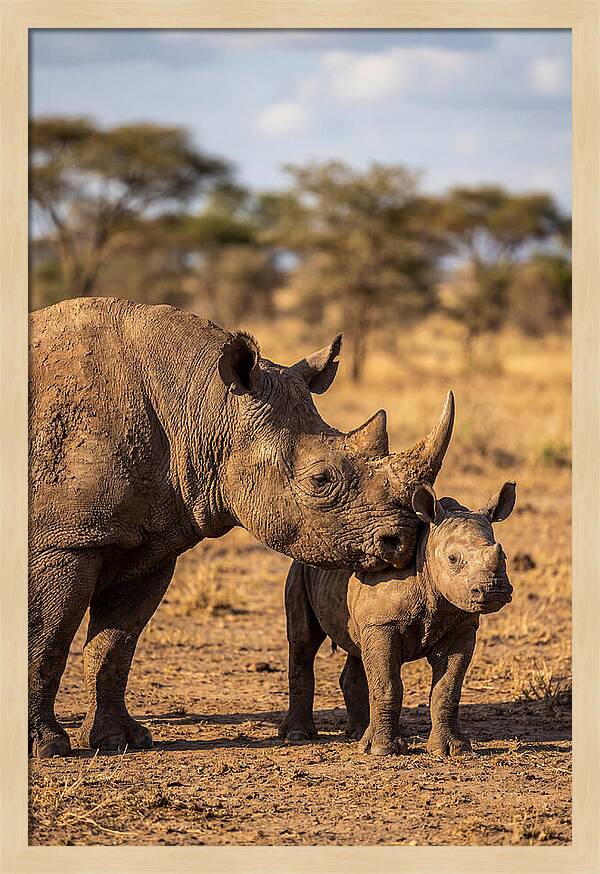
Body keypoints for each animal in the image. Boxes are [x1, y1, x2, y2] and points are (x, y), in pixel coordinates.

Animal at [28, 297, 453, 758]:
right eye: (320, 480)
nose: (403, 541)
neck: (205, 406)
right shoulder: (66, 541)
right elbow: (46, 638)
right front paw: (47, 746)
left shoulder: (150, 543)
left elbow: (115, 644)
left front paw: (119, 741)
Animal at [279, 480, 516, 756]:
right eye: (453, 559)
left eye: (504, 556)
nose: (494, 590)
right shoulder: (383, 624)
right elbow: (388, 684)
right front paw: (383, 750)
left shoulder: (461, 627)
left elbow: (448, 689)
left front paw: (453, 749)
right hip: (299, 568)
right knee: (303, 641)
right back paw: (298, 735)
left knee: (357, 647)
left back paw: (358, 733)